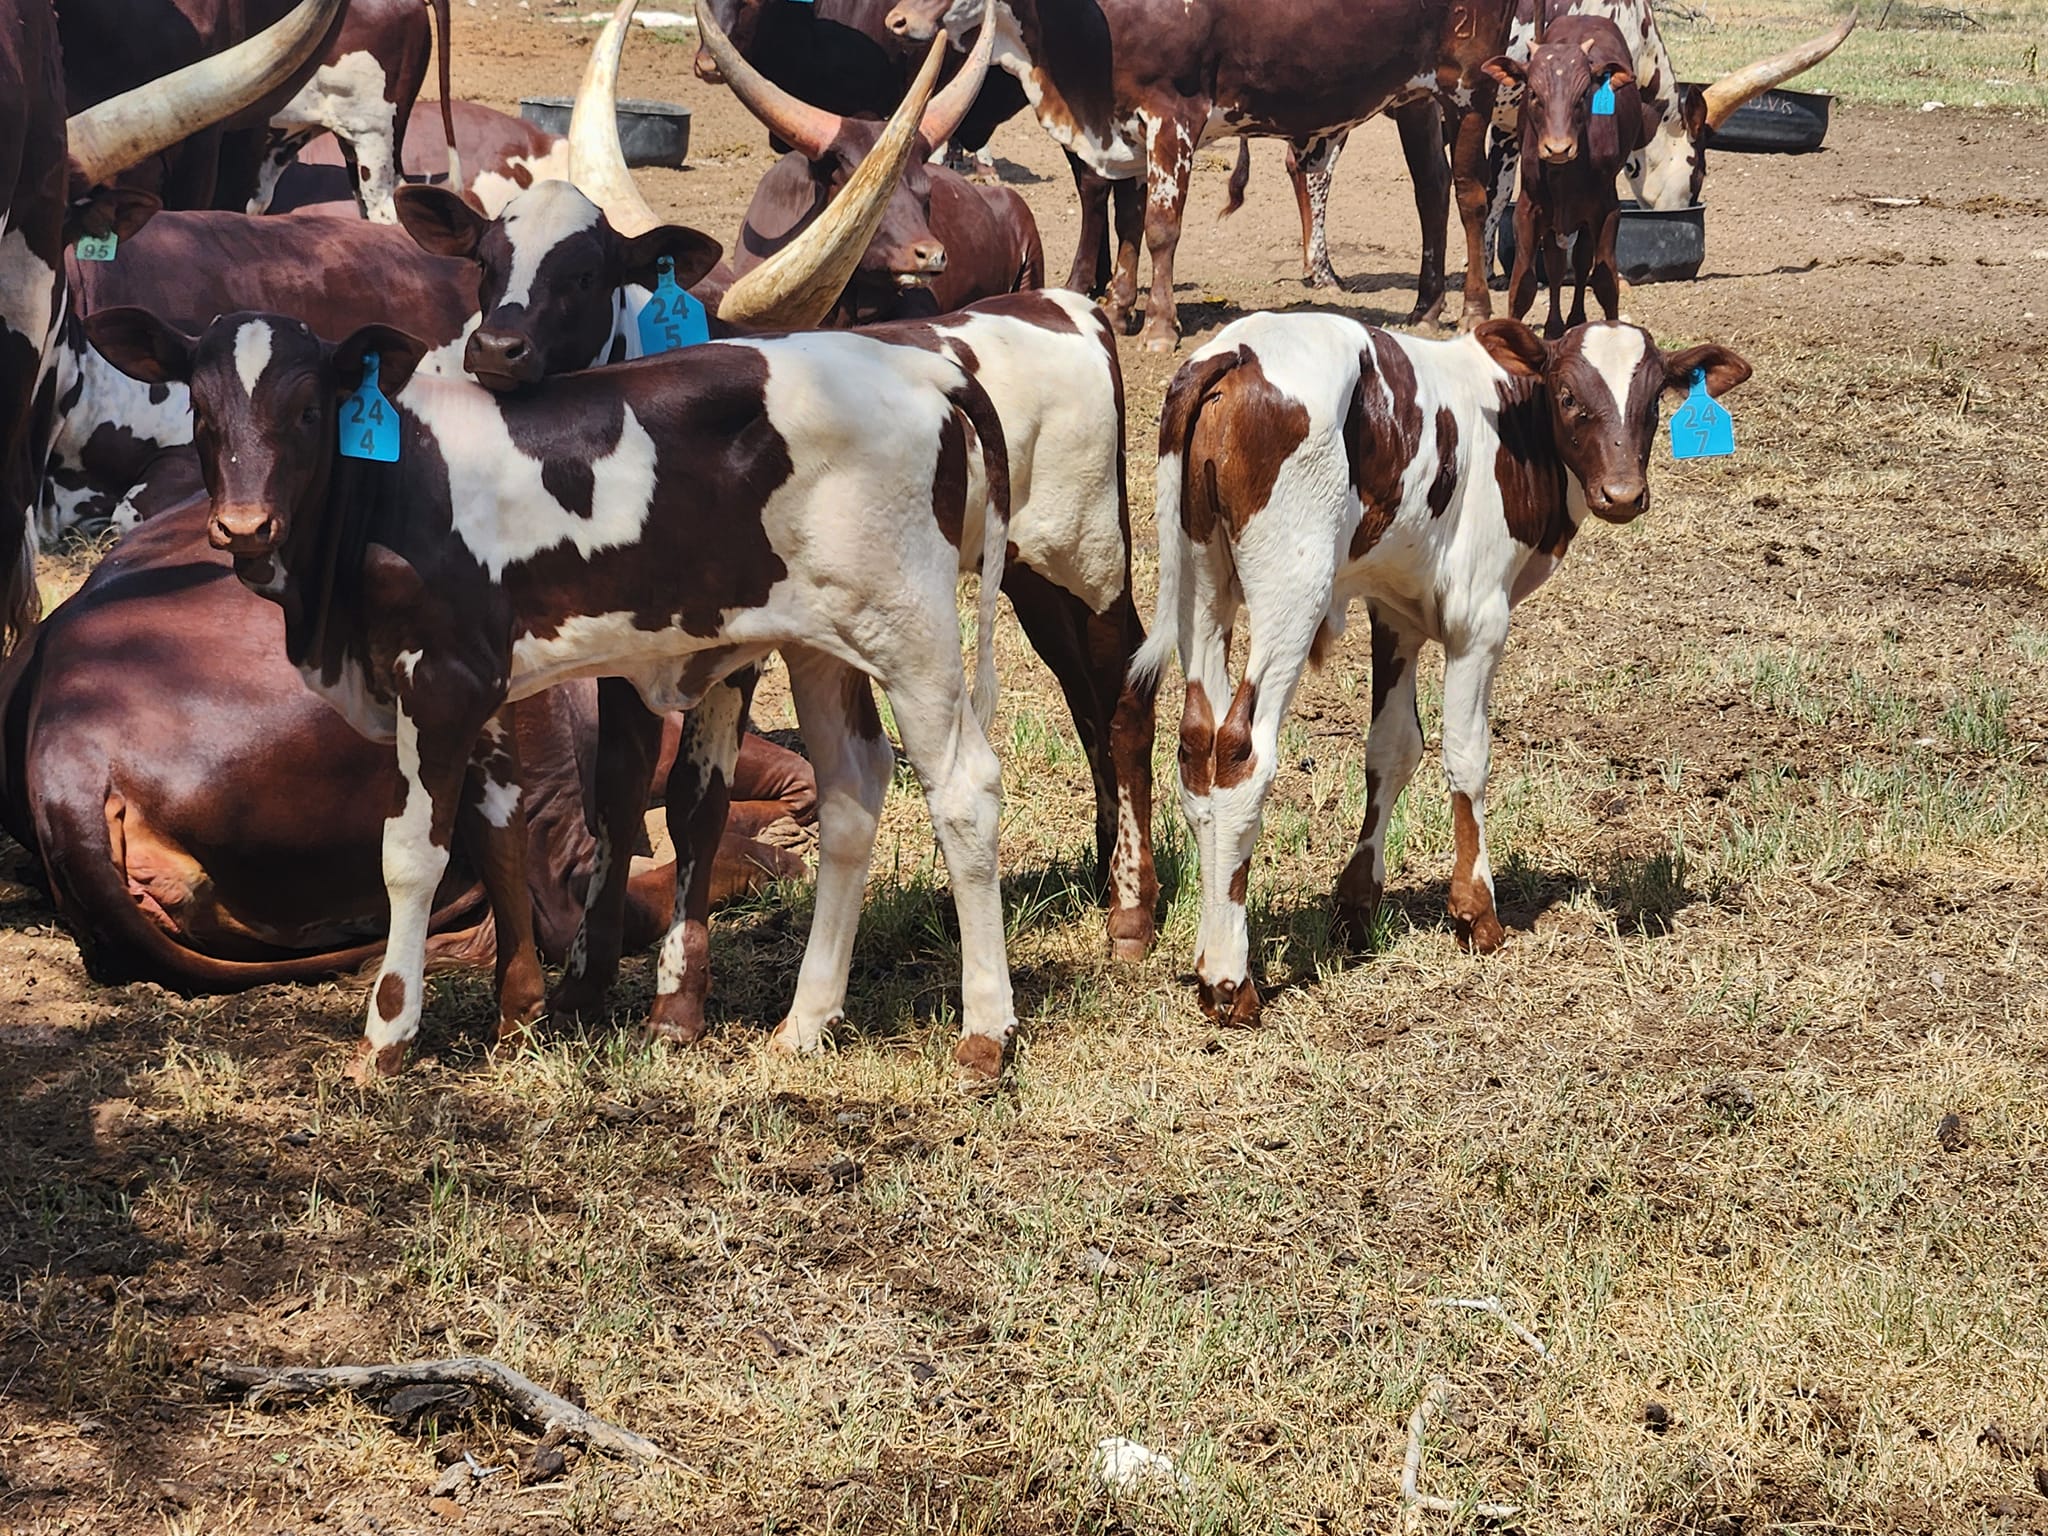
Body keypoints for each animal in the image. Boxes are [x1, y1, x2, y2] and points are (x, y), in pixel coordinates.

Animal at [1129, 313, 1749, 1021]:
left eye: (1652, 402)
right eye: (1568, 394)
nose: (1622, 494)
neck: (1509, 419)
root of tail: (1237, 351)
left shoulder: (1394, 611)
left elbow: (1392, 748)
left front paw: (1357, 906)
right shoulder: (1478, 620)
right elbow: (1467, 754)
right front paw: (1476, 911)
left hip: (1202, 586)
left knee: (1197, 749)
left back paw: (1208, 956)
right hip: (1292, 592)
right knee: (1240, 755)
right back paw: (1231, 979)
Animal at [1485, 16, 1646, 336]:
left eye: (1583, 95)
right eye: (1534, 94)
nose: (1558, 148)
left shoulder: (1607, 209)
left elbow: (1605, 280)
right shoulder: (1529, 208)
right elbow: (1523, 284)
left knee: (1582, 262)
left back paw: (1575, 320)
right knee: (1557, 265)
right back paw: (1555, 326)